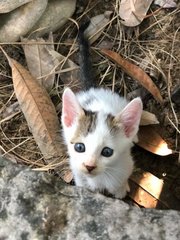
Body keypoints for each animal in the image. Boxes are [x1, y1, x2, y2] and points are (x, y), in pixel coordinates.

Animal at [61, 22, 143, 199]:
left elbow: (119, 189)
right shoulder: (78, 174)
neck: (99, 178)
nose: (89, 166)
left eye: (107, 152)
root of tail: (93, 89)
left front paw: (121, 192)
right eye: (79, 147)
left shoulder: (124, 170)